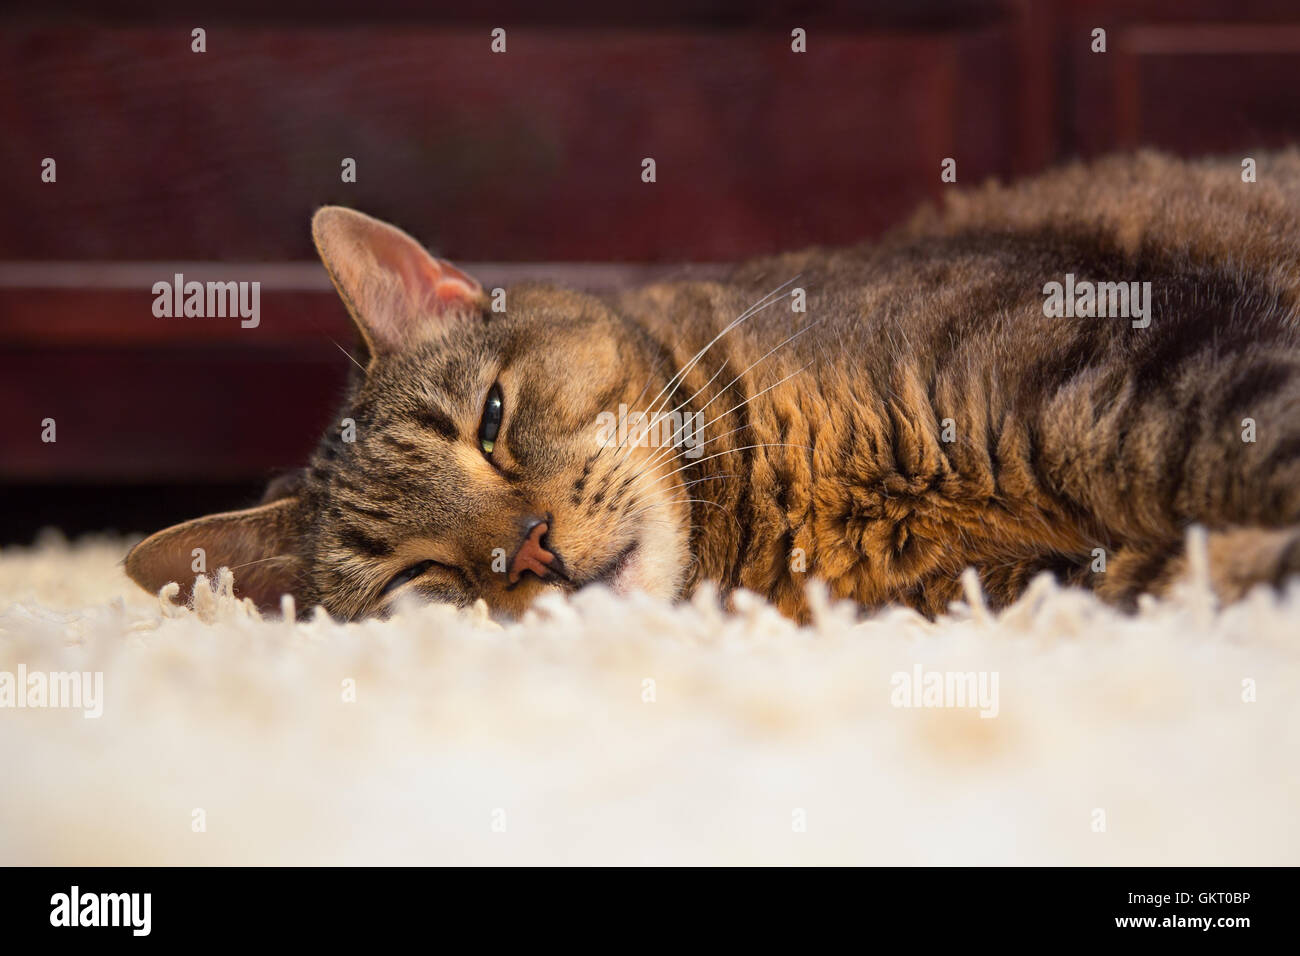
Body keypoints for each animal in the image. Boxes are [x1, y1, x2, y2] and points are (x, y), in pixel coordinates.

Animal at [126, 150, 1300, 624]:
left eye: (491, 421)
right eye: (421, 575)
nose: (533, 549)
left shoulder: (1127, 361)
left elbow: (1256, 438)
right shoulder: (1045, 578)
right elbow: (1198, 570)